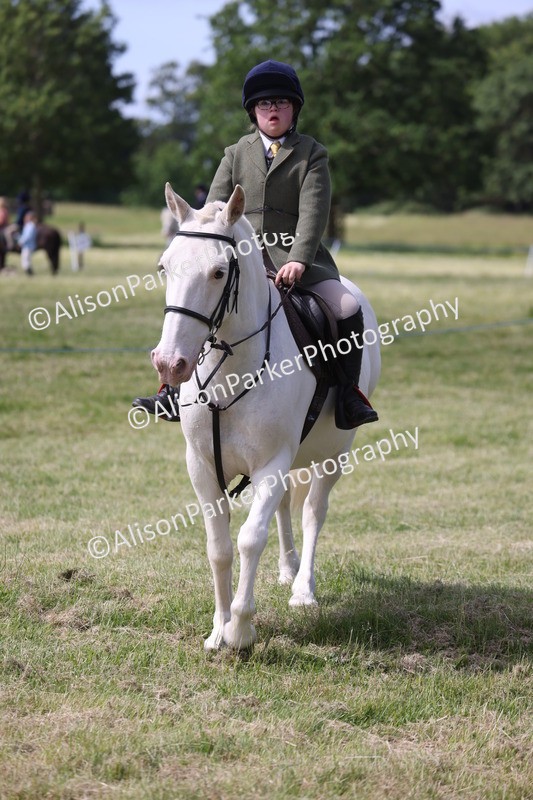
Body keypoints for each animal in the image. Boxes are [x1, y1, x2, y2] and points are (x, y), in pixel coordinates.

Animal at [152, 183, 381, 651]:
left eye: (219, 273)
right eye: (165, 267)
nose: (170, 364)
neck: (231, 366)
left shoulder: (272, 464)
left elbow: (249, 539)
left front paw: (240, 630)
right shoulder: (202, 465)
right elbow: (219, 546)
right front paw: (218, 629)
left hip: (334, 455)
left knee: (312, 511)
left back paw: (303, 589)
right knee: (285, 508)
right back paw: (288, 569)